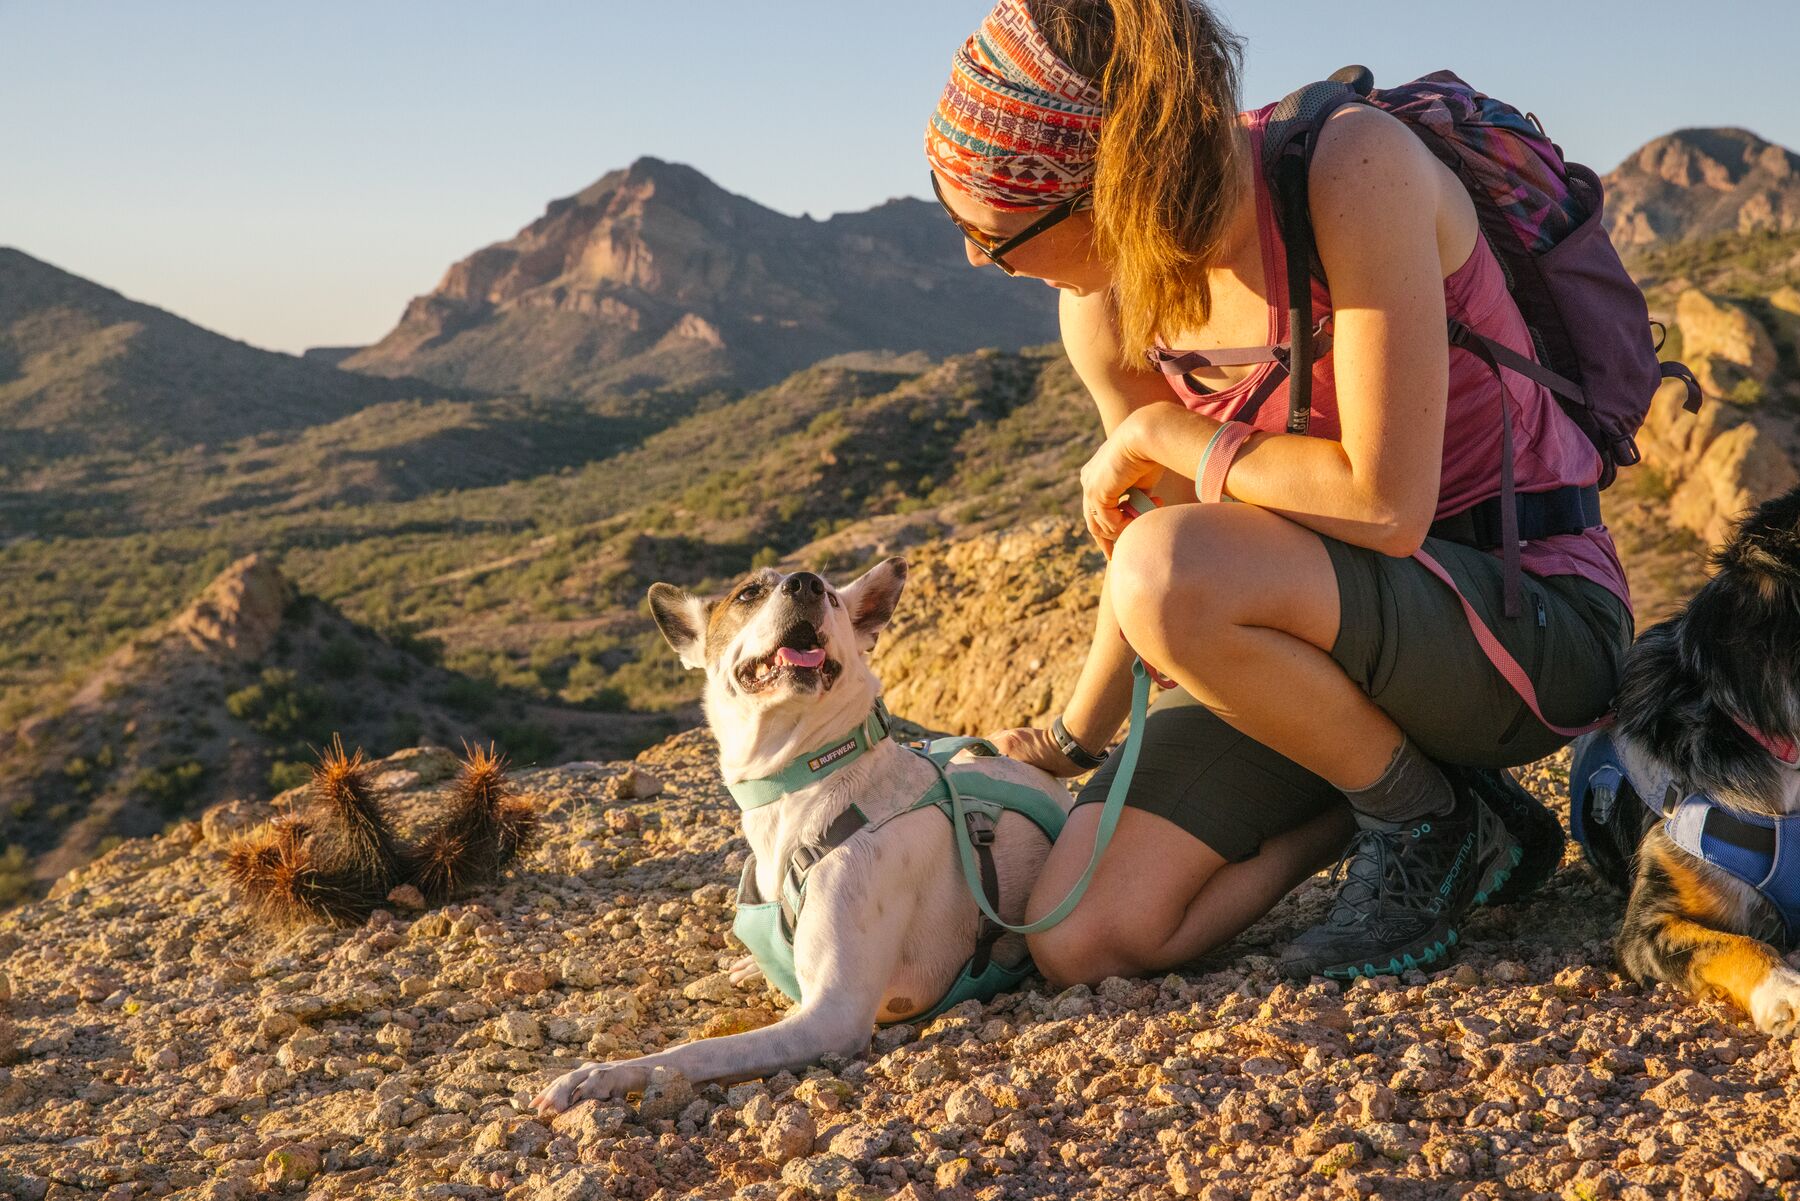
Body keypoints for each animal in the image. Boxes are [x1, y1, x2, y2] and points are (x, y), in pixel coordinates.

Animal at [529, 558, 1065, 1116]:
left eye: (830, 596)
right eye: (748, 593)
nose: (805, 583)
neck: (804, 781)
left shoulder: (832, 1017)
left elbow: (698, 1051)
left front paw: (602, 1074)